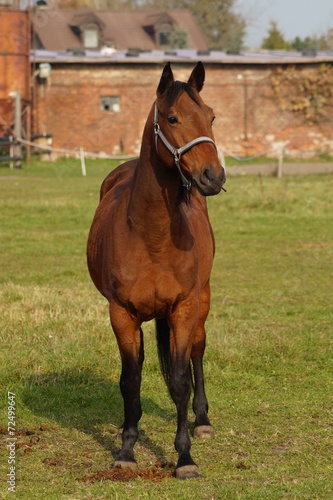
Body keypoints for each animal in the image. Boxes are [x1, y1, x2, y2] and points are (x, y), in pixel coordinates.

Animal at [86, 60, 226, 478]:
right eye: (173, 117)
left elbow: (179, 380)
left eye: (211, 116)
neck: (152, 235)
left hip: (202, 301)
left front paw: (184, 458)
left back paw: (202, 421)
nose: (214, 176)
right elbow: (130, 380)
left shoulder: (183, 308)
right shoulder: (122, 313)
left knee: (198, 349)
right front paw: (126, 450)